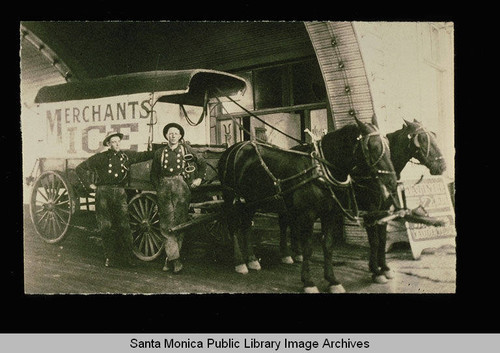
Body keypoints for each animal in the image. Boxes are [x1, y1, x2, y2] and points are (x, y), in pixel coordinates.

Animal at [217, 117, 400, 292]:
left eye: (388, 147)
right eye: (373, 147)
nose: (392, 182)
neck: (320, 169)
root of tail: (234, 148)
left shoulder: (330, 214)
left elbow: (328, 245)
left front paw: (332, 280)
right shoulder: (308, 215)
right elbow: (308, 248)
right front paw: (308, 282)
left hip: (251, 201)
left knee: (247, 225)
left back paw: (252, 259)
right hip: (231, 198)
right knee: (233, 226)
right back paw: (240, 262)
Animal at [280, 118, 448, 284]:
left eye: (433, 136)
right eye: (423, 139)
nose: (442, 167)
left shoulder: (383, 211)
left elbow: (382, 240)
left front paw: (384, 267)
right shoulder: (371, 211)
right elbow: (374, 241)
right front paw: (376, 271)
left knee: (292, 222)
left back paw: (297, 252)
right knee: (285, 222)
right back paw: (286, 254)